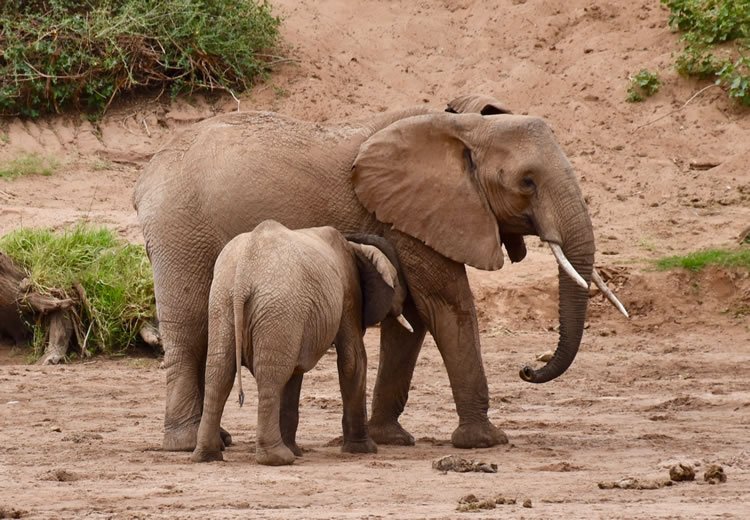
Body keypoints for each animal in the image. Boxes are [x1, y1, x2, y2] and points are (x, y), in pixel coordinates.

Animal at [188, 218, 412, 464]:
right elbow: (353, 361)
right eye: (397, 282)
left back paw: (207, 456)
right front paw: (364, 450)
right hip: (277, 307)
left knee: (220, 373)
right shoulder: (349, 292)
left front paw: (296, 450)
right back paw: (277, 459)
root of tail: (244, 277)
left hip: (223, 304)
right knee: (271, 377)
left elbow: (294, 375)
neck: (356, 249)